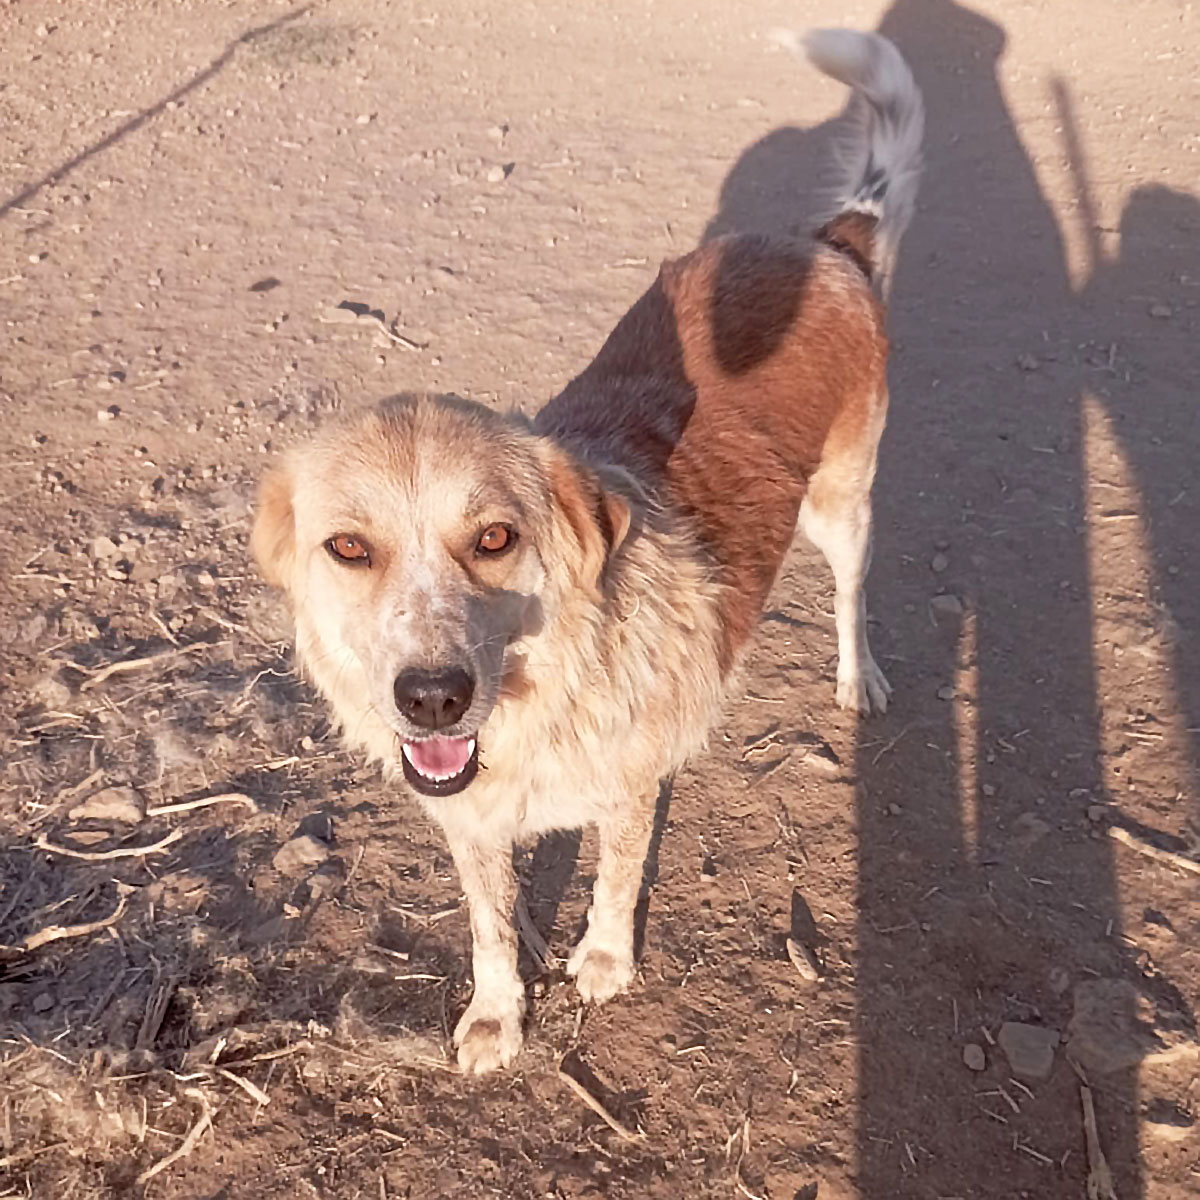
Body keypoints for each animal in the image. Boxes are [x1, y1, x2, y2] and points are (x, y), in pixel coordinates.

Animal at [251, 28, 923, 1074]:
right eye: (348, 547)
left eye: (496, 537)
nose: (432, 696)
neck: (544, 698)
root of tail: (822, 241)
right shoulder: (469, 816)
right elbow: (489, 924)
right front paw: (496, 1016)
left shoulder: (631, 784)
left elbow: (615, 870)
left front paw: (605, 960)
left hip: (840, 500)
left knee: (853, 589)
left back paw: (860, 679)